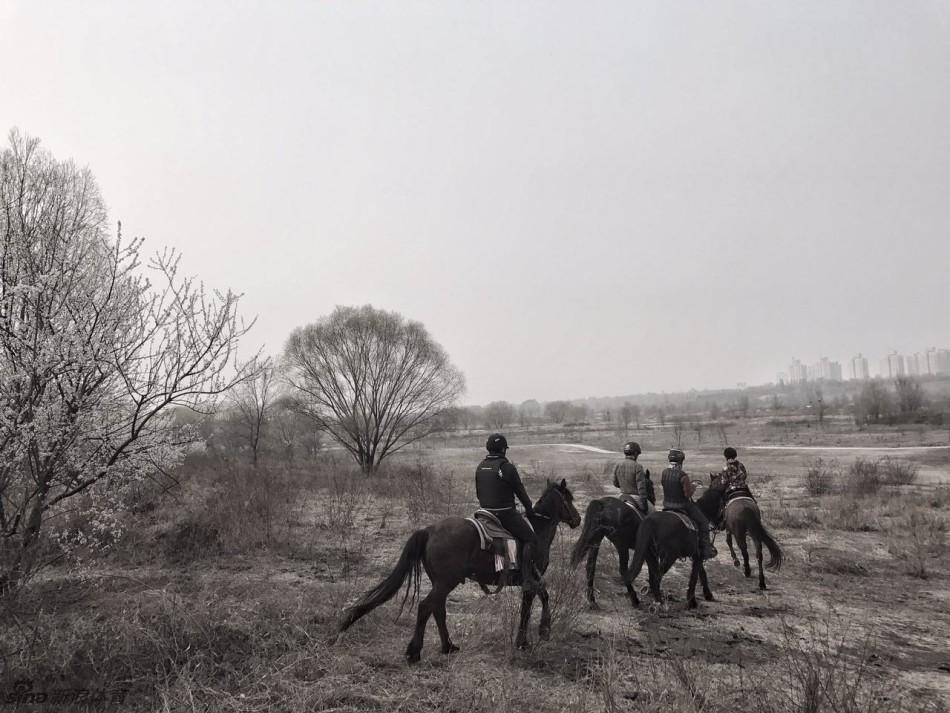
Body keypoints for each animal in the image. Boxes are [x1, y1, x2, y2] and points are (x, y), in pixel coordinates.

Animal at [338, 478, 584, 660]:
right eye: (568, 498)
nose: (577, 519)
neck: (538, 529)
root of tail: (430, 530)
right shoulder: (532, 579)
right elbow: (542, 597)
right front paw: (542, 631)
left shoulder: (526, 585)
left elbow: (527, 607)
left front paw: (522, 641)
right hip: (447, 582)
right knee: (426, 607)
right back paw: (414, 652)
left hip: (442, 582)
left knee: (437, 609)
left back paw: (448, 646)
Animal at [628, 476, 724, 608]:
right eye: (722, 504)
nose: (722, 524)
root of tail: (650, 520)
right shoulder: (698, 556)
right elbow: (695, 577)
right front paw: (692, 601)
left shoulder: (696, 555)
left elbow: (702, 574)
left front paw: (707, 595)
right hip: (669, 557)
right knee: (656, 577)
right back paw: (660, 602)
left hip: (650, 555)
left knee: (653, 576)